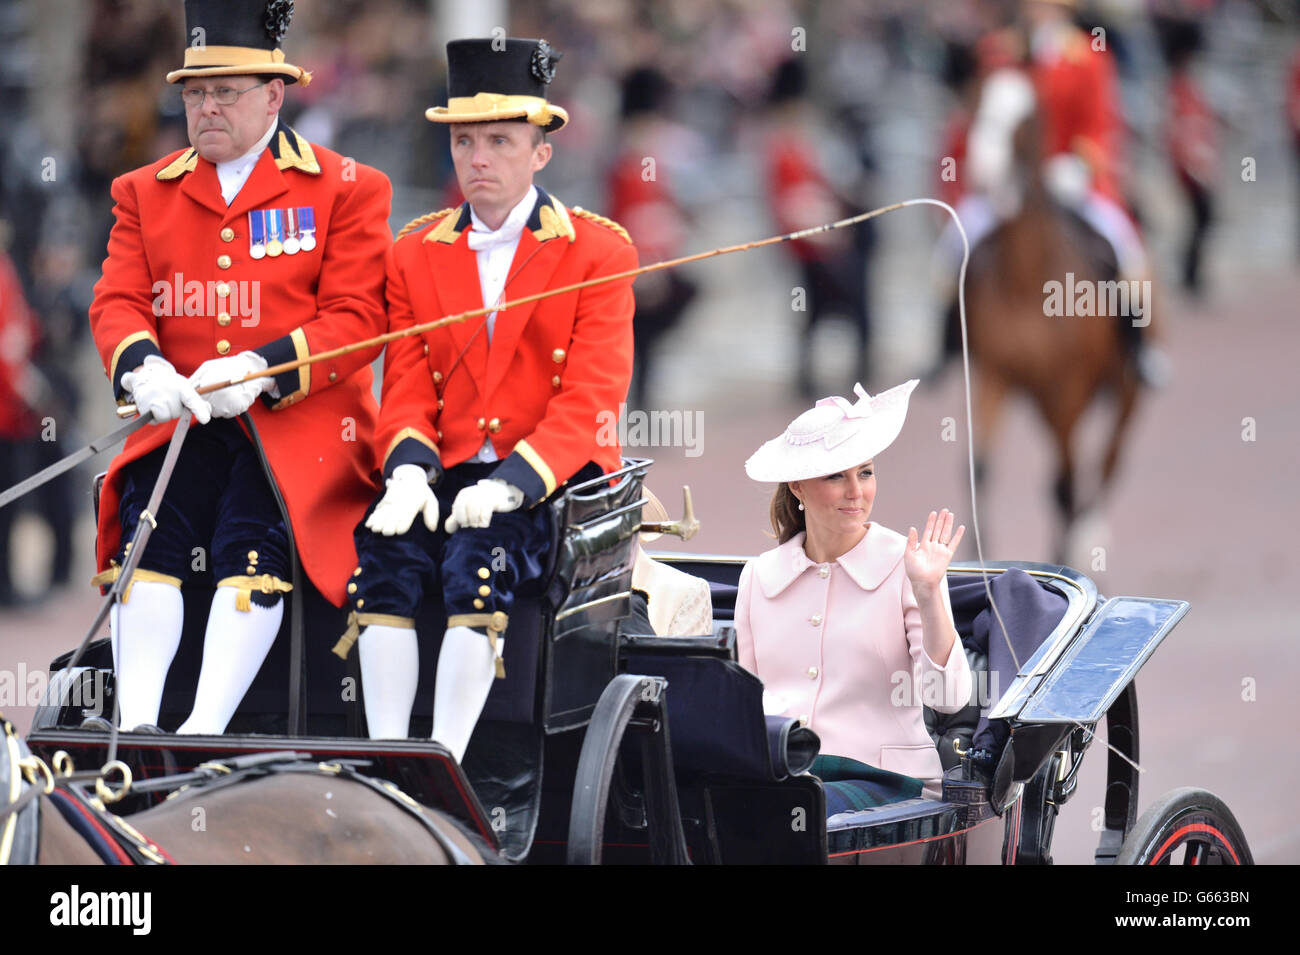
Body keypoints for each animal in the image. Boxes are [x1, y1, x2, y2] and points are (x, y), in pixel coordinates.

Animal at [956, 80, 1149, 566]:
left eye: (1026, 119)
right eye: (977, 105)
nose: (986, 173)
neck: (1027, 281)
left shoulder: (1069, 389)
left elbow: (1064, 483)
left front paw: (1065, 552)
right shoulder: (994, 375)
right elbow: (979, 468)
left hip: (1124, 392)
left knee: (1107, 461)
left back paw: (1089, 535)